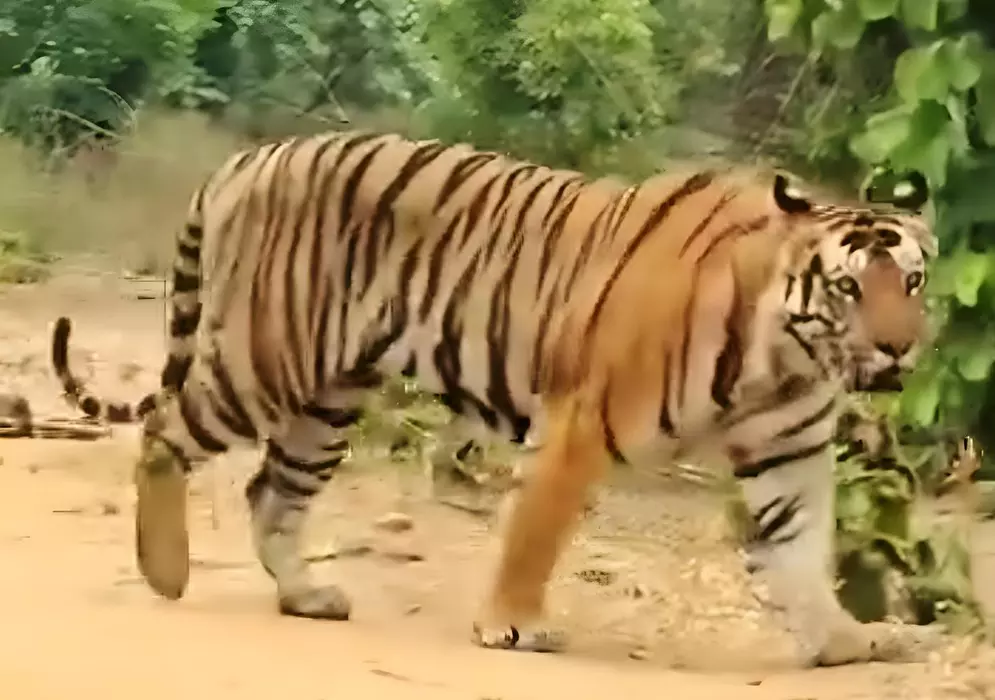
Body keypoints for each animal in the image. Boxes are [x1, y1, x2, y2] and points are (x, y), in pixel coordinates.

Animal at [50, 129, 938, 667]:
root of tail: (247, 158)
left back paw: (306, 596)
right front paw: (511, 624)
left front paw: (842, 641)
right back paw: (166, 572)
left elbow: (801, 549)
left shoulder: (790, 454)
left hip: (330, 394)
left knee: (272, 491)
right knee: (166, 430)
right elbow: (534, 533)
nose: (899, 347)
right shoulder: (580, 419)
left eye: (912, 281)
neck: (786, 353)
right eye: (849, 288)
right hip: (262, 360)